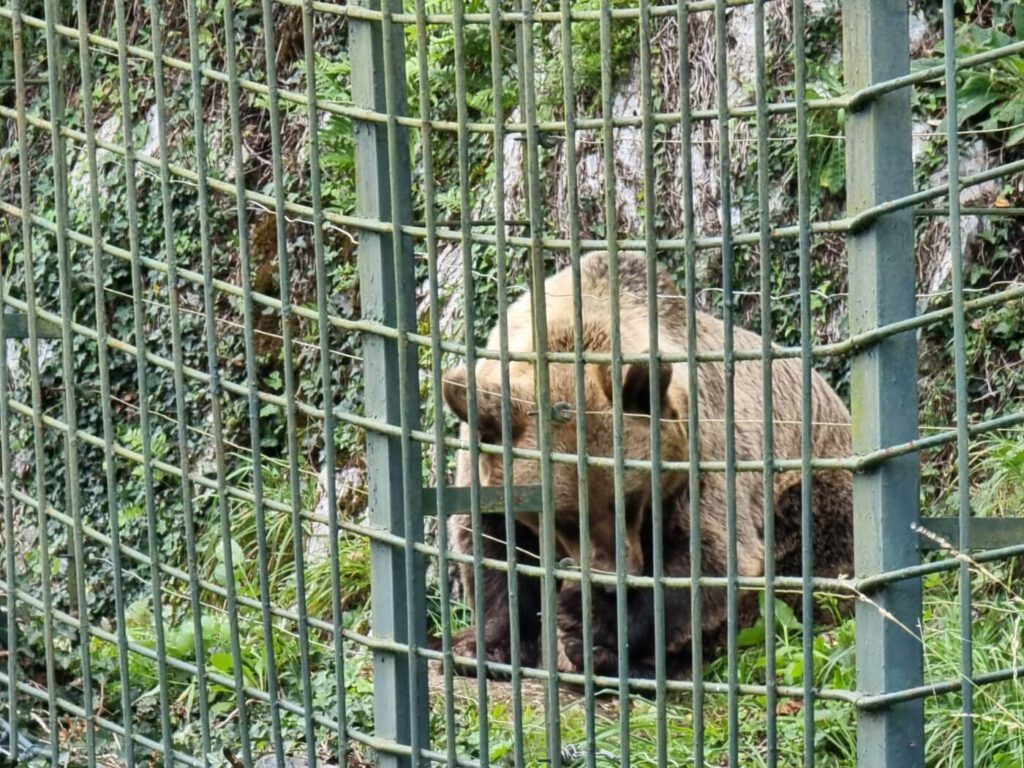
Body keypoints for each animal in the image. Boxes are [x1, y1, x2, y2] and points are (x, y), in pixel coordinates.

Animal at [444, 252, 851, 679]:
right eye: (564, 518)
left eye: (633, 500)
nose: (614, 579)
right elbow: (492, 546)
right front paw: (483, 647)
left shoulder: (702, 453)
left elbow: (709, 556)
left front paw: (589, 619)